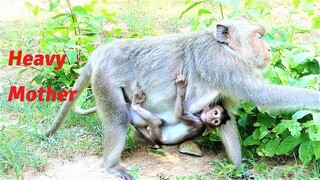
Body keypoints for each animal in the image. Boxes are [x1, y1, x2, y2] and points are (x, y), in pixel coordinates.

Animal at [44, 17, 320, 180]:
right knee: (118, 120)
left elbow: (227, 117)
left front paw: (239, 167)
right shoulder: (224, 65)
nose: (269, 49)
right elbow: (263, 96)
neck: (225, 48)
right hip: (105, 81)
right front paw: (316, 99)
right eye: (259, 37)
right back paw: (111, 165)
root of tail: (103, 50)